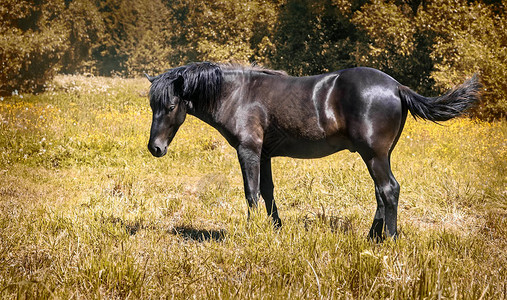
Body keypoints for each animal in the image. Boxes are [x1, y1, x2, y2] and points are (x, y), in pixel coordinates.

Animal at [146, 62, 480, 240]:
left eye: (171, 105)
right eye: (152, 106)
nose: (155, 148)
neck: (239, 95)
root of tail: (397, 86)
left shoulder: (249, 150)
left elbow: (251, 192)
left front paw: (253, 232)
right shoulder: (264, 154)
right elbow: (267, 191)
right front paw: (276, 229)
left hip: (374, 155)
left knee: (389, 190)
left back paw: (389, 238)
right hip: (378, 156)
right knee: (381, 193)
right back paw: (371, 237)